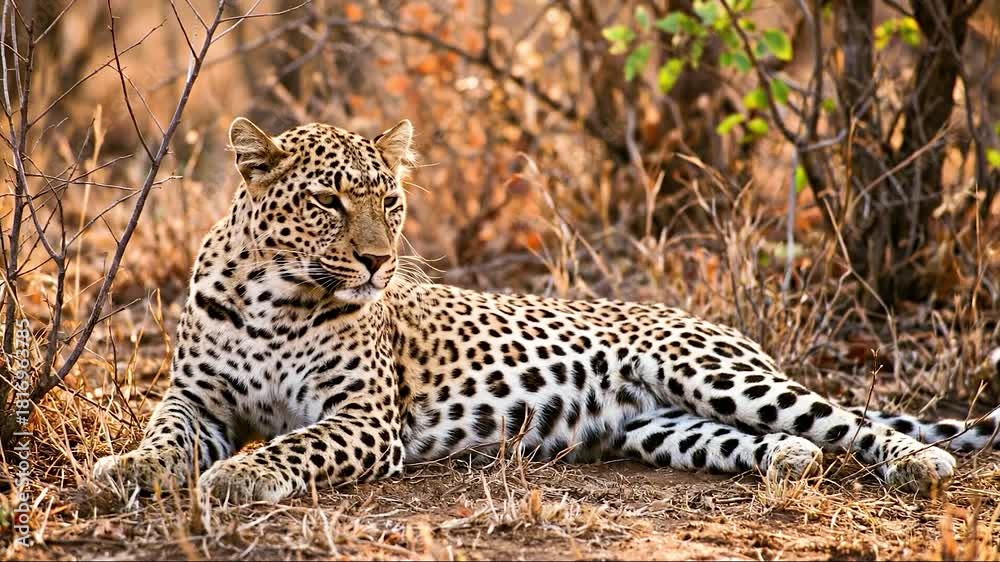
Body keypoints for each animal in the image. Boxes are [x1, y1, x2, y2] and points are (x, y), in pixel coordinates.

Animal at [93, 117, 1000, 504]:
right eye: (326, 201)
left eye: (388, 201)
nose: (378, 262)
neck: (271, 300)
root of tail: (725, 329)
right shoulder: (196, 399)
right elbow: (165, 435)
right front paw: (127, 469)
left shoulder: (363, 419)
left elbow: (294, 444)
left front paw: (241, 474)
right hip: (664, 427)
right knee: (786, 440)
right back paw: (788, 464)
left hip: (710, 371)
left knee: (851, 420)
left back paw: (919, 464)